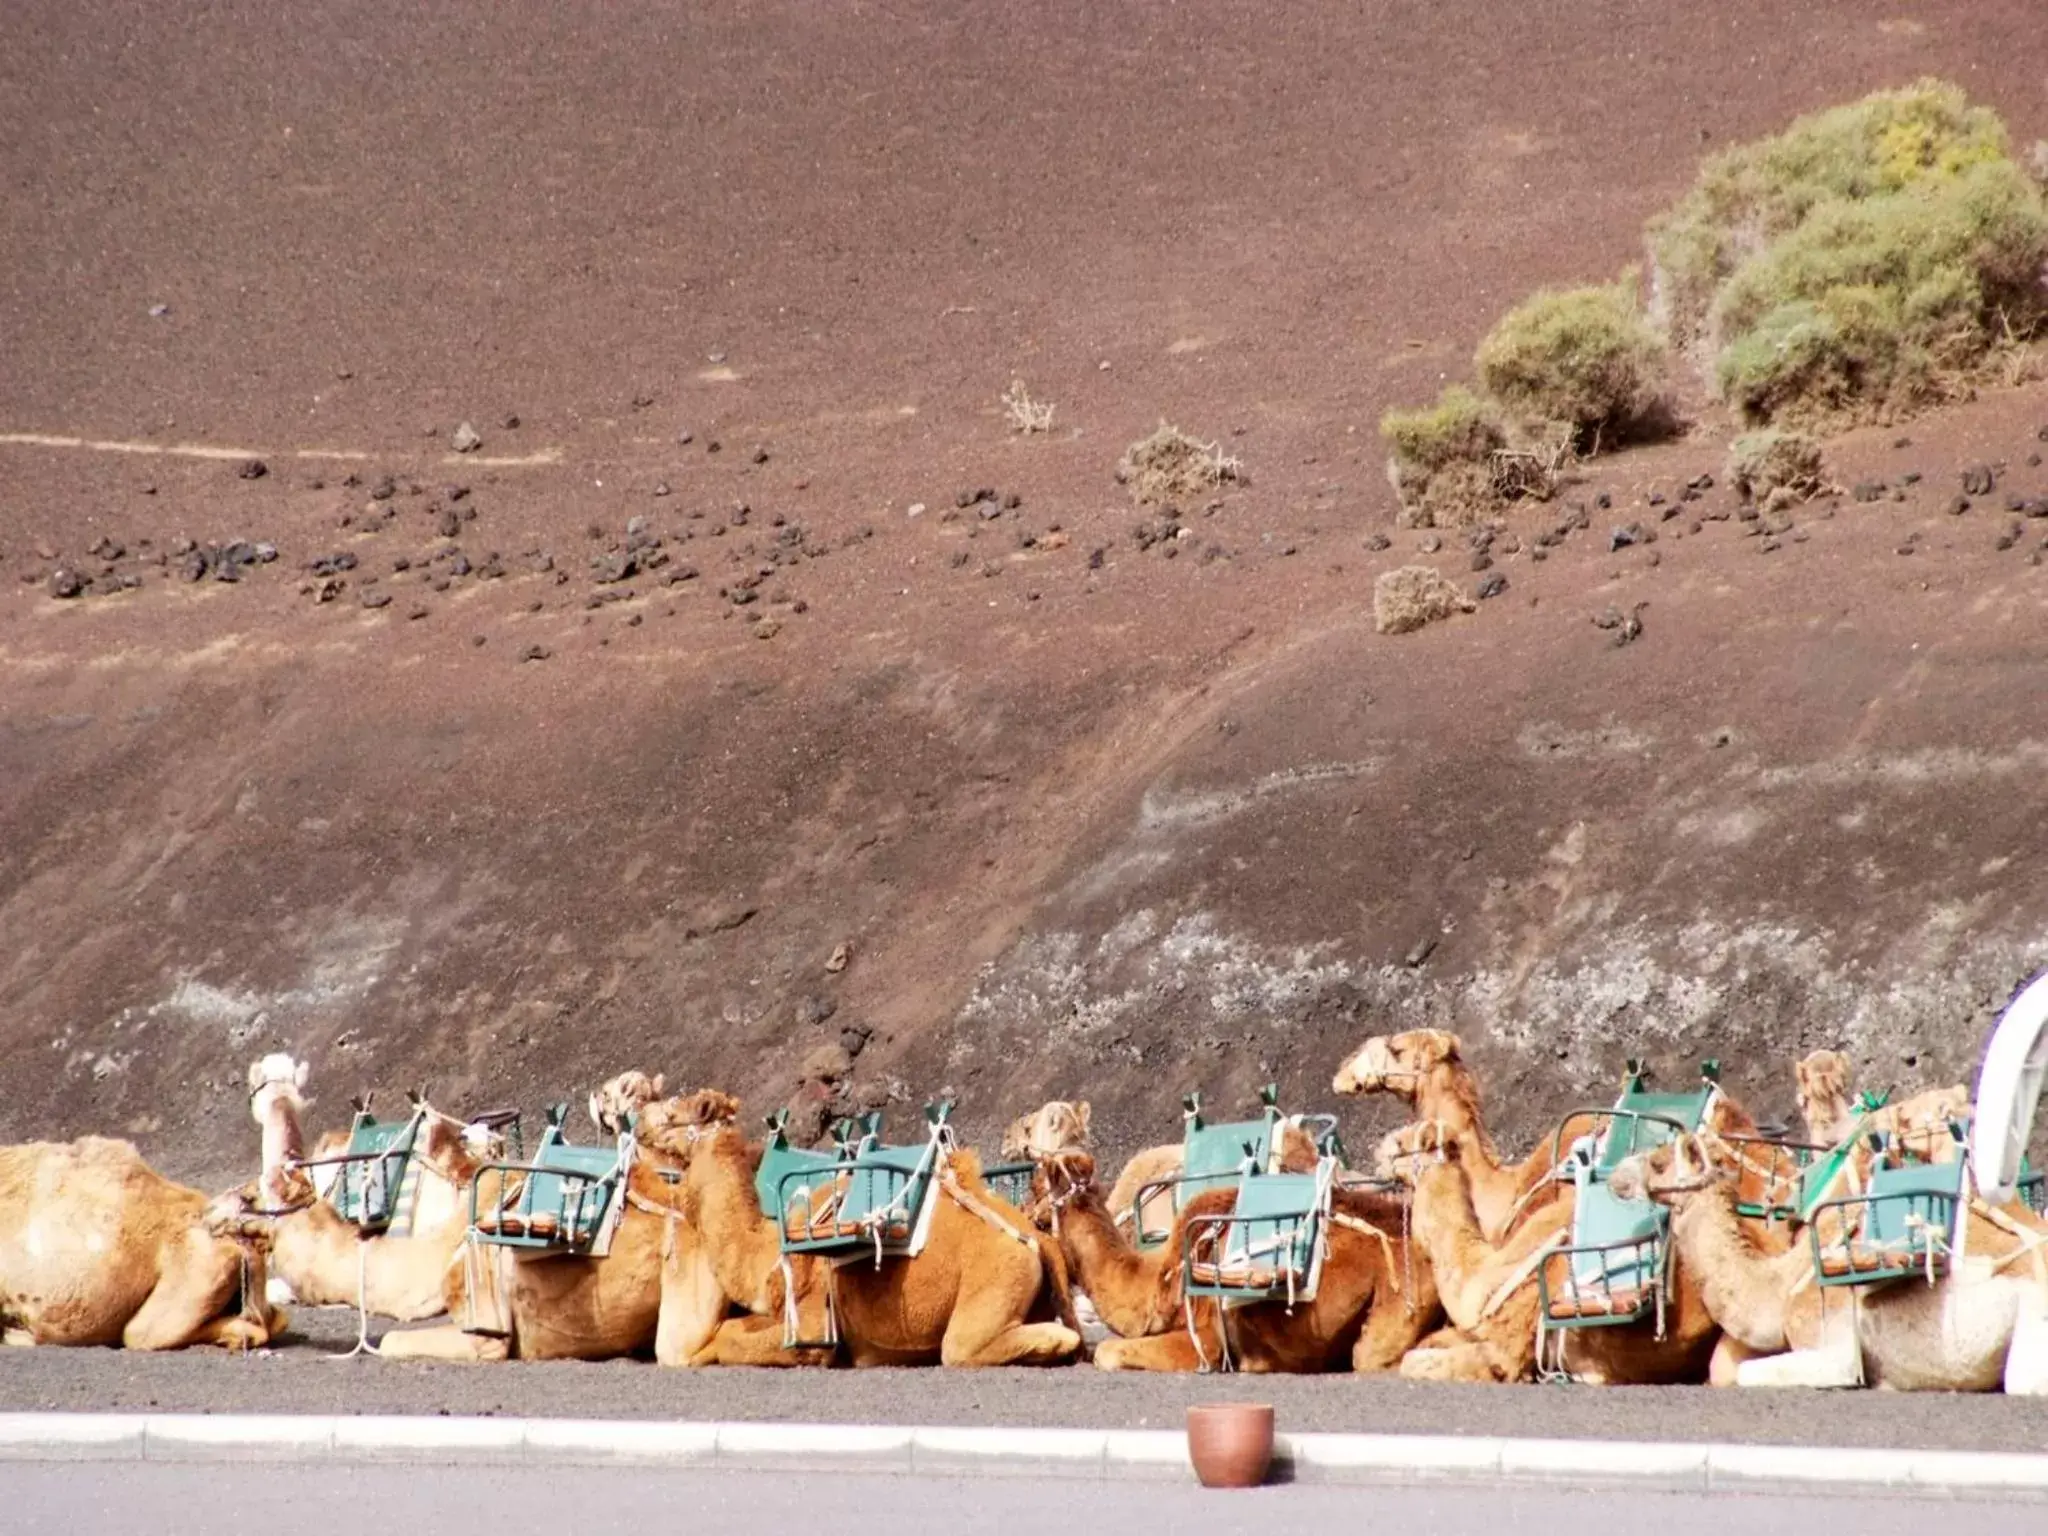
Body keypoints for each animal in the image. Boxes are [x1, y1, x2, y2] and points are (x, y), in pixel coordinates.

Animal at [651, 1097, 1089, 1368]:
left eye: (676, 1114)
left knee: (960, 1346)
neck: (766, 1254)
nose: (646, 1129)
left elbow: (729, 1336)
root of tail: (1036, 1238)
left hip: (997, 1278)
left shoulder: (813, 1322)